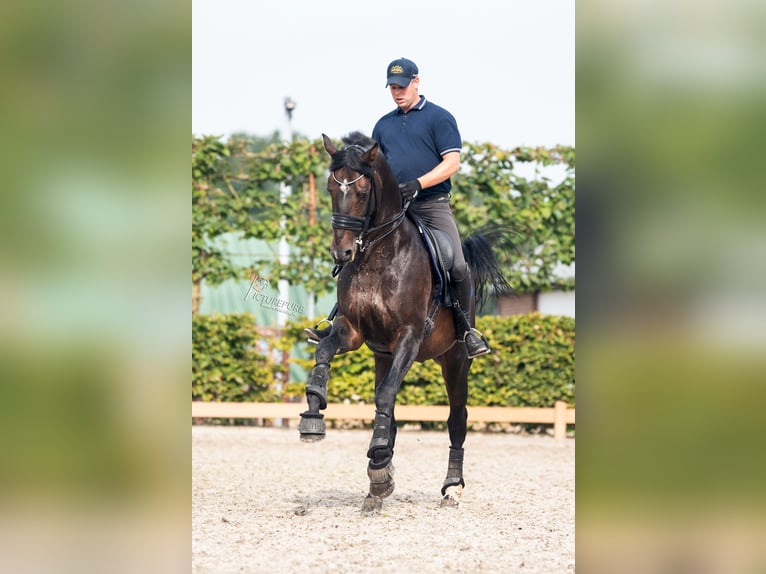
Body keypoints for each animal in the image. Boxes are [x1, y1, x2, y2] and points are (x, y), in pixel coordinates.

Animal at [298, 131, 511, 512]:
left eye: (362, 192)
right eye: (330, 188)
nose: (341, 253)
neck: (378, 256)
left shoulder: (409, 336)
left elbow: (386, 396)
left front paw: (379, 459)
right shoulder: (352, 331)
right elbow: (324, 353)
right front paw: (313, 410)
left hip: (455, 360)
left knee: (456, 419)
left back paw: (451, 487)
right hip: (383, 357)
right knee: (391, 408)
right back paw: (378, 479)